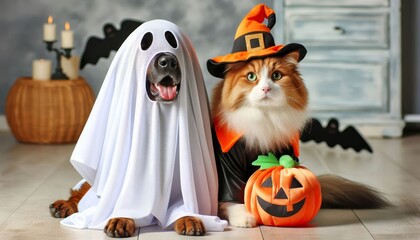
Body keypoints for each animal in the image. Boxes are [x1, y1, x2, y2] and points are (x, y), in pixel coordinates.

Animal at [212, 51, 388, 227]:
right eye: (251, 76)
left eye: (276, 75)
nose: (266, 88)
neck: (265, 117)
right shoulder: (228, 165)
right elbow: (232, 198)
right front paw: (244, 217)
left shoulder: (288, 152)